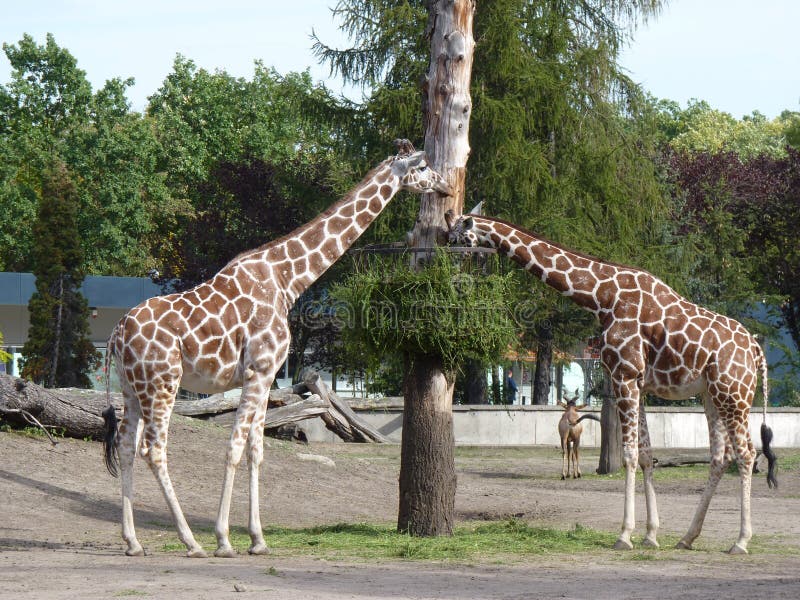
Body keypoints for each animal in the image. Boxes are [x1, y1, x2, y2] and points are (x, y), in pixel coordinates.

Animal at [101, 141, 451, 558]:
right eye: (424, 166)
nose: (446, 188)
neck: (288, 279)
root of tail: (118, 332)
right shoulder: (259, 369)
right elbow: (235, 447)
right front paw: (223, 539)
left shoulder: (268, 378)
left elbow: (257, 450)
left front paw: (257, 539)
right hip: (162, 382)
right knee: (153, 449)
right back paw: (191, 541)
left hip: (132, 387)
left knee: (125, 445)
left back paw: (132, 542)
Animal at [445, 211, 777, 554]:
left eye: (456, 240)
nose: (450, 276)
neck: (601, 297)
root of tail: (756, 349)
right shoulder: (639, 383)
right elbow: (645, 454)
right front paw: (651, 535)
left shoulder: (624, 376)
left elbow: (629, 454)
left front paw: (625, 535)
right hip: (711, 395)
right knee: (720, 456)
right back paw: (687, 536)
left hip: (733, 394)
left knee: (746, 453)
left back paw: (740, 541)